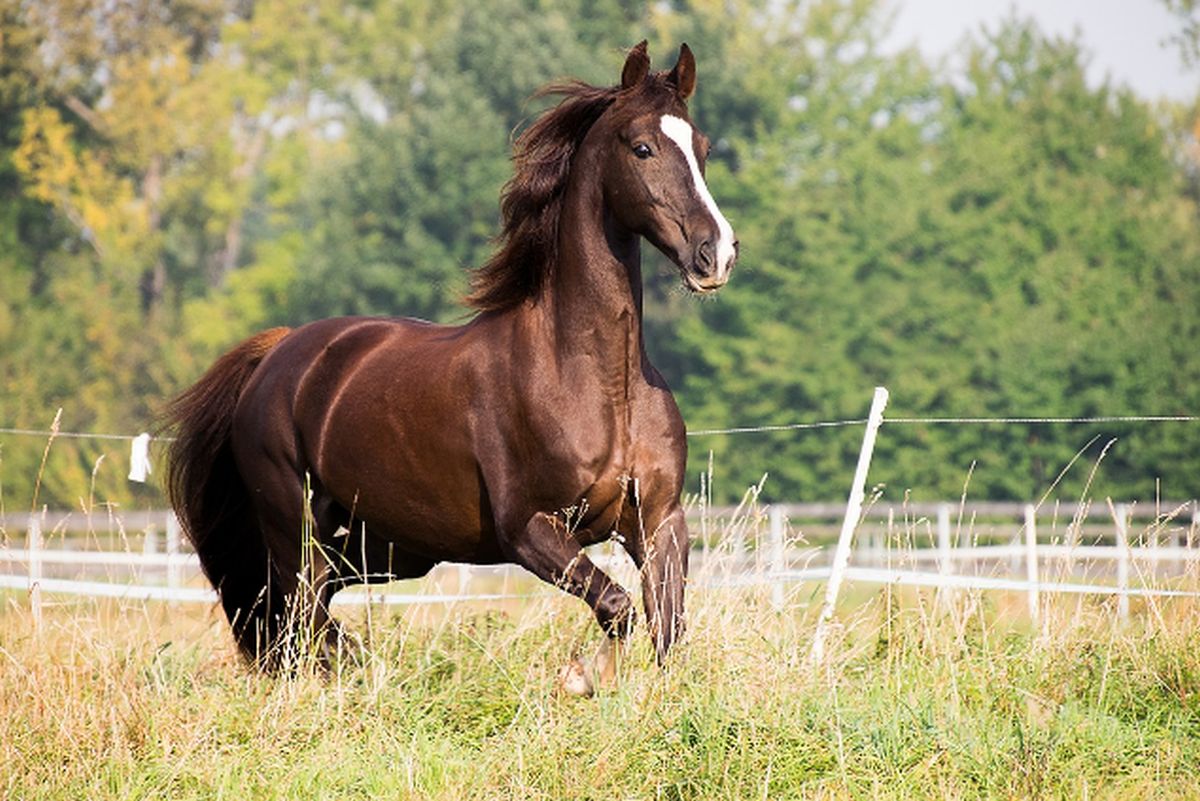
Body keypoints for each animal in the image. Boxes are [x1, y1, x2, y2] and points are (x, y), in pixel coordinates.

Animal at [164, 38, 734, 690]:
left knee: (311, 607)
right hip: (294, 524)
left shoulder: (660, 523)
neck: (597, 381)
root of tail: (279, 354)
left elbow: (667, 626)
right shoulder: (528, 530)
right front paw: (583, 678)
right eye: (642, 147)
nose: (716, 254)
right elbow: (617, 607)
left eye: (703, 148)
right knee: (300, 613)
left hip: (388, 545)